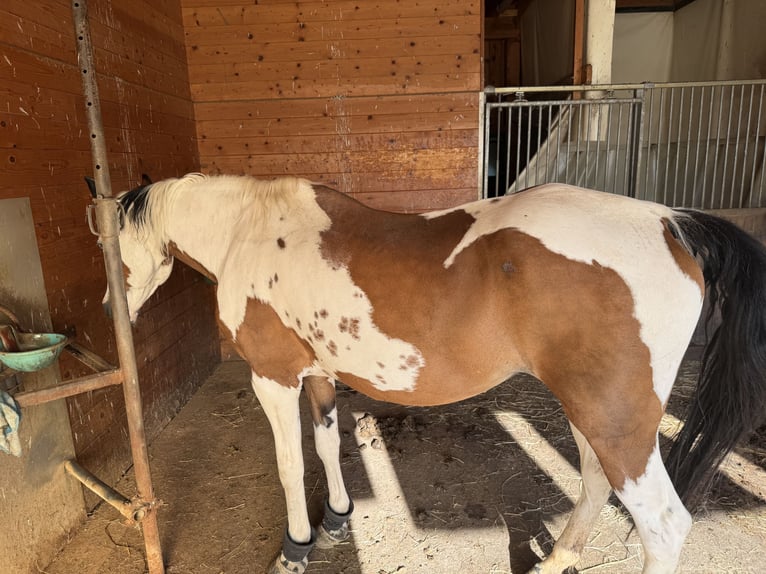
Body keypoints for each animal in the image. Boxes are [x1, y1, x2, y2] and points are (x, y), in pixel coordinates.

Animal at [101, 173, 766, 574]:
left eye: (108, 247)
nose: (111, 312)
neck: (253, 232)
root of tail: (669, 221)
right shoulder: (318, 374)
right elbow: (327, 447)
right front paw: (337, 519)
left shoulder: (274, 378)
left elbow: (291, 466)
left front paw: (296, 548)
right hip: (590, 410)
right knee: (597, 482)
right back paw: (557, 560)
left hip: (615, 420)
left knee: (663, 524)